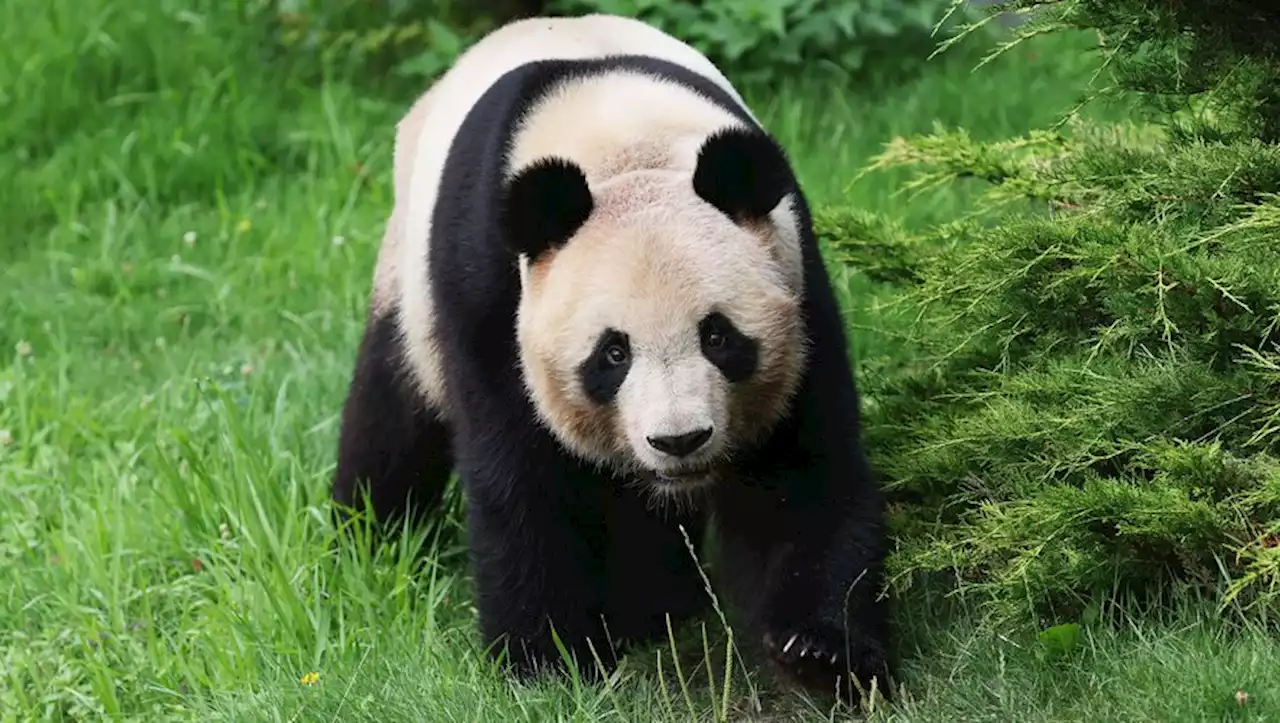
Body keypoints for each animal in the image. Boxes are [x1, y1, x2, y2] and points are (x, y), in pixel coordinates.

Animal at [330, 9, 890, 701]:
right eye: (612, 353)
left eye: (718, 336)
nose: (680, 440)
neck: (623, 145)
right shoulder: (488, 292)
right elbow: (524, 479)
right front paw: (546, 663)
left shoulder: (794, 275)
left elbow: (799, 471)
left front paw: (821, 653)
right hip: (408, 282)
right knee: (391, 416)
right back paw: (366, 539)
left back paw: (661, 610)